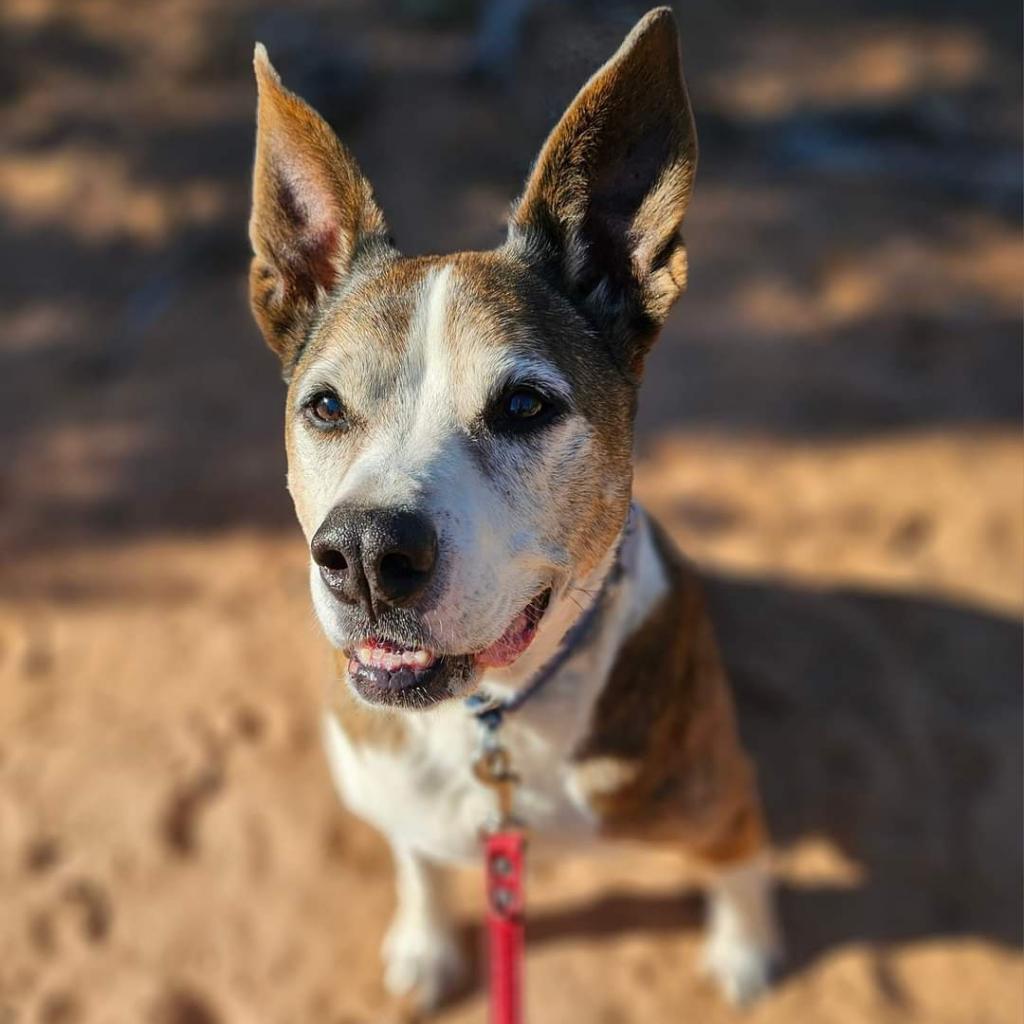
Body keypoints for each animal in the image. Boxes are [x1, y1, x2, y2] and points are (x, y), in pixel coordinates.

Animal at [245, 8, 782, 1011]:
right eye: (325, 407)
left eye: (526, 405)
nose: (366, 554)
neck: (491, 720)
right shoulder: (398, 799)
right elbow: (417, 862)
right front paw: (425, 945)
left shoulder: (722, 798)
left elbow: (741, 866)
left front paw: (746, 952)